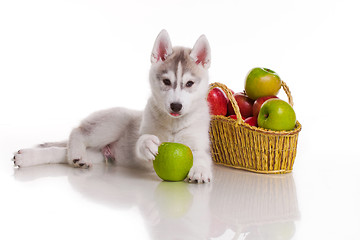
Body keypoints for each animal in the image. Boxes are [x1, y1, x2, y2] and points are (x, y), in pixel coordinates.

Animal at [12, 31, 212, 183]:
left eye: (189, 83)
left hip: (100, 155)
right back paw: (75, 152)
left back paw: (36, 157)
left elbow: (202, 157)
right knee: (77, 131)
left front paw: (200, 170)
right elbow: (141, 142)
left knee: (63, 153)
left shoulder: (200, 146)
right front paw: (147, 144)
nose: (176, 106)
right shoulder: (141, 139)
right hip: (115, 122)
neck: (174, 124)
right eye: (166, 81)